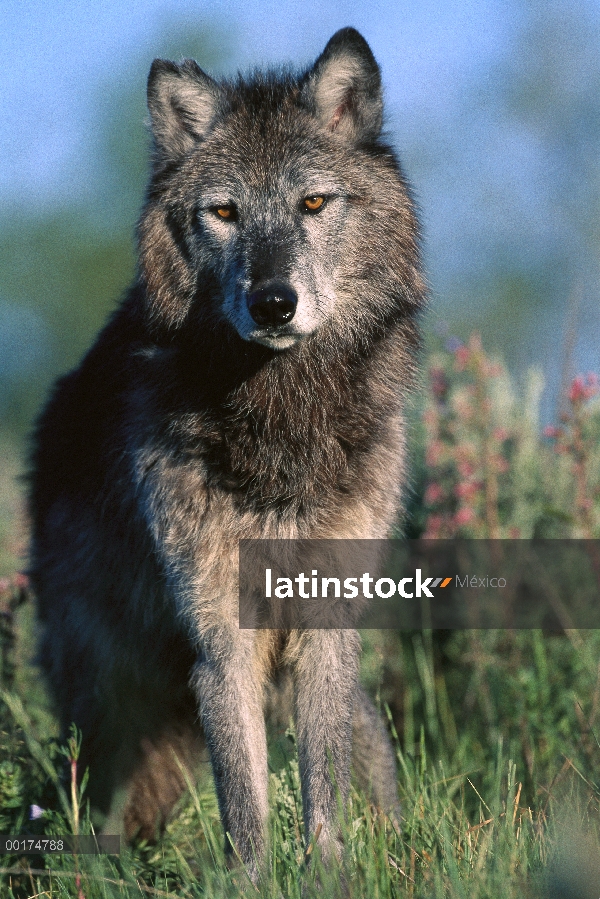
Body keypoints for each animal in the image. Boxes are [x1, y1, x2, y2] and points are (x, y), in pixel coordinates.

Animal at [28, 26, 424, 880]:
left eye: (313, 203)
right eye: (224, 212)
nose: (274, 302)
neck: (280, 420)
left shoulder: (326, 626)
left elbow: (320, 783)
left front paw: (328, 873)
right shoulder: (220, 638)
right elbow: (243, 794)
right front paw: (253, 880)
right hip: (113, 702)